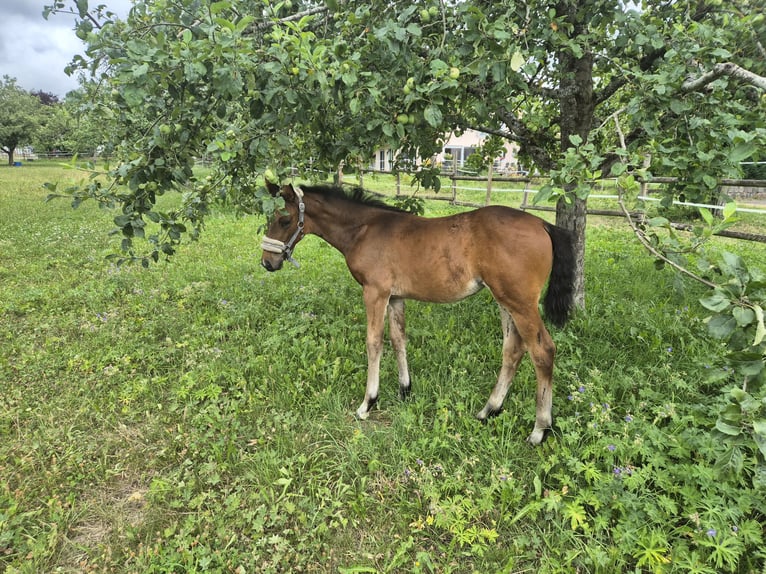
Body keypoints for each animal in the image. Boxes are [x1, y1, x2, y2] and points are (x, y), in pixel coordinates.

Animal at [260, 181, 575, 444]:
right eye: (268, 218)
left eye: (285, 220)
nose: (267, 262)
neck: (364, 228)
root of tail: (542, 224)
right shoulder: (396, 297)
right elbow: (398, 339)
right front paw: (405, 390)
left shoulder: (375, 292)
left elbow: (374, 343)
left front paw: (368, 403)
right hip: (505, 300)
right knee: (513, 349)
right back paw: (489, 410)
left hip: (520, 302)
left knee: (542, 351)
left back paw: (539, 430)